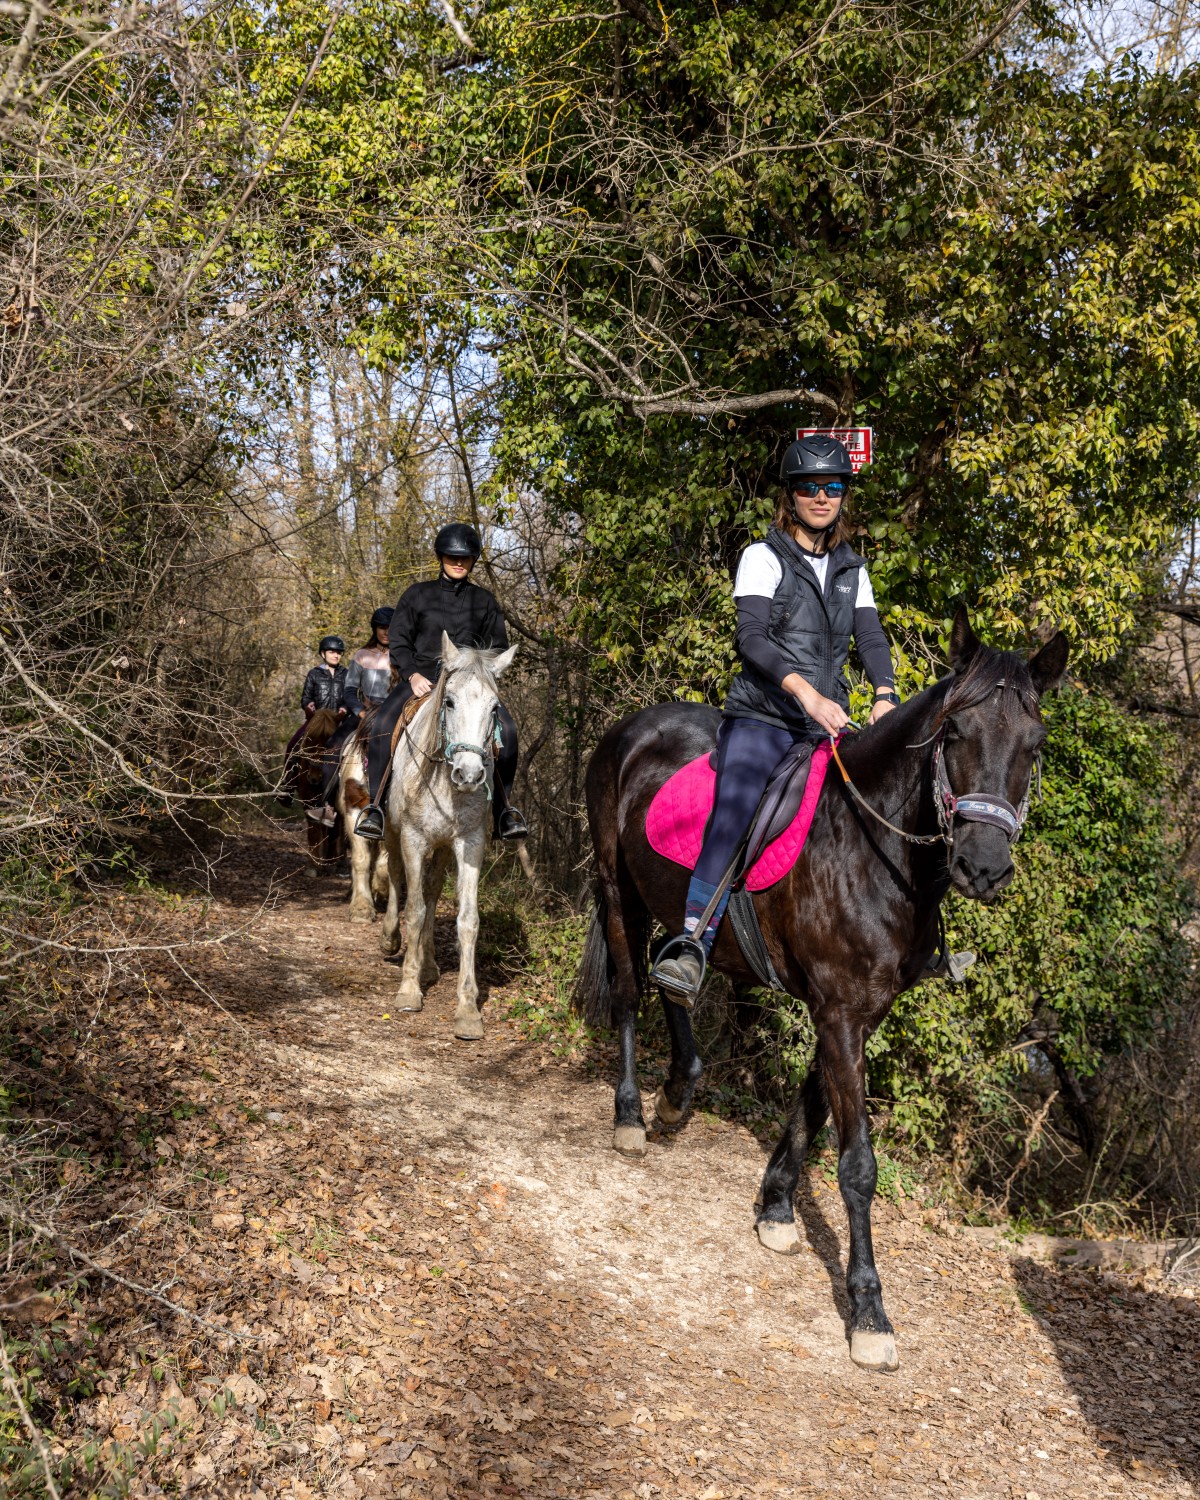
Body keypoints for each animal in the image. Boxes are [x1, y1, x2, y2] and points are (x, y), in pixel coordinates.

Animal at [378, 632, 517, 1041]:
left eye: (494, 708)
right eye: (450, 701)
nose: (469, 775)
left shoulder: (469, 844)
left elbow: (466, 919)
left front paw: (468, 1009)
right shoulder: (412, 839)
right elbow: (414, 909)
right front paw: (409, 990)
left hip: (440, 850)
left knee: (432, 889)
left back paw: (427, 964)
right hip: (392, 835)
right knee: (396, 877)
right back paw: (392, 940)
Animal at [571, 609, 1068, 1372]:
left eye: (1034, 745)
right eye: (954, 732)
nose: (983, 868)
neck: (871, 848)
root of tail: (632, 726)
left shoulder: (857, 1011)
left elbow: (808, 1108)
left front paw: (776, 1207)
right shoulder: (838, 1010)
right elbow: (857, 1163)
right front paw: (868, 1312)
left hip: (669, 905)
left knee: (672, 968)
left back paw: (679, 1091)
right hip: (615, 885)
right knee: (629, 989)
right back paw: (630, 1115)